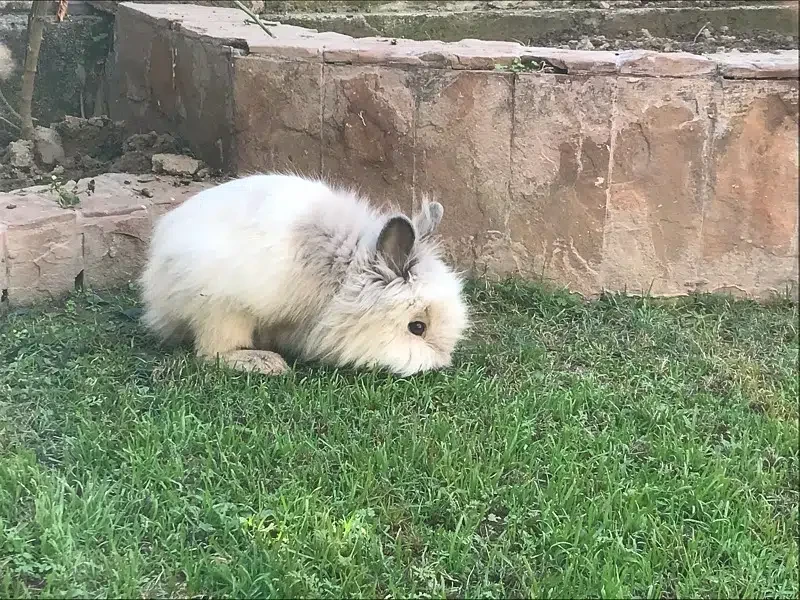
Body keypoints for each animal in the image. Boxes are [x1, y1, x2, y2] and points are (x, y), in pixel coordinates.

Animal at [139, 172, 468, 376]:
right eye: (417, 328)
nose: (441, 363)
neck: (341, 276)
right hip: (220, 309)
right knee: (213, 353)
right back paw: (267, 363)